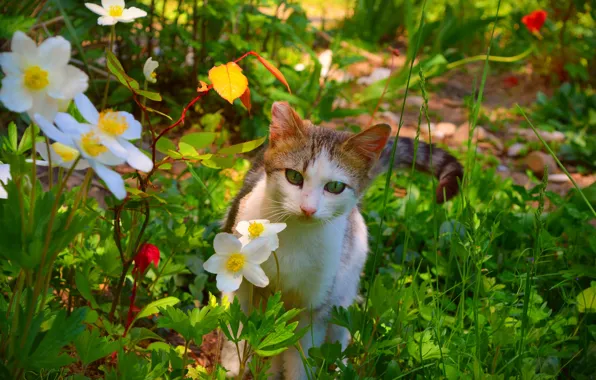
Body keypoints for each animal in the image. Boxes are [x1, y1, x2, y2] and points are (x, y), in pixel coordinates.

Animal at [218, 101, 460, 380]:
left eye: (335, 187)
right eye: (293, 176)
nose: (308, 209)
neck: (294, 238)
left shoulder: (314, 306)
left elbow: (301, 356)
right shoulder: (242, 285)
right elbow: (237, 331)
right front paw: (231, 366)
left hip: (343, 290)